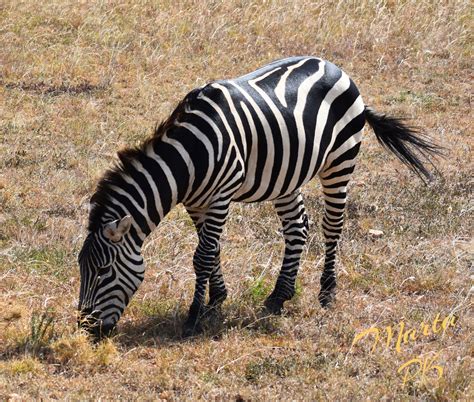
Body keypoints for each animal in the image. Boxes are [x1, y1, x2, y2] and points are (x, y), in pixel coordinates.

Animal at [78, 55, 440, 340]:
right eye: (82, 269)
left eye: (104, 271)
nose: (85, 329)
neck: (190, 157)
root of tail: (334, 66)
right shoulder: (197, 203)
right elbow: (213, 250)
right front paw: (216, 301)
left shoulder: (221, 195)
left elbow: (202, 256)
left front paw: (195, 316)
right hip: (287, 174)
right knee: (298, 228)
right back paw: (279, 296)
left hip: (341, 160)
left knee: (333, 226)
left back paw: (326, 292)